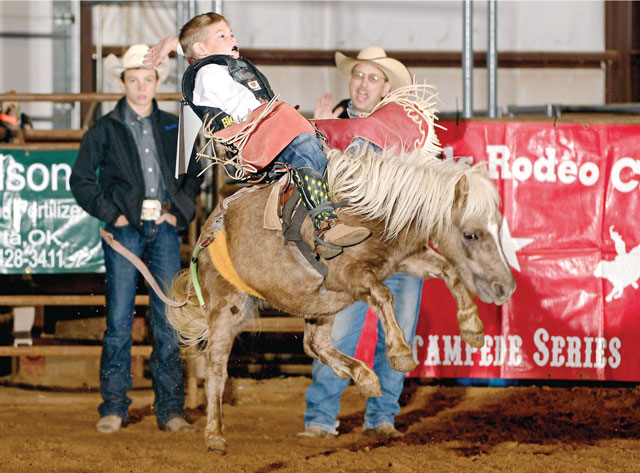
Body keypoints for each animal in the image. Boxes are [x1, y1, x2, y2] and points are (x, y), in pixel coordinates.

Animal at [166, 142, 516, 454]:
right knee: (216, 368)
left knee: (315, 345)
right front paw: (401, 352)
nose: (506, 287)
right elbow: (383, 293)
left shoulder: (403, 259)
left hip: (319, 304)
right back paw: (215, 436)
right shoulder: (349, 274)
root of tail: (207, 231)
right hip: (228, 306)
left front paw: (472, 327)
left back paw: (364, 376)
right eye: (471, 234)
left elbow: (450, 271)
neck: (370, 213)